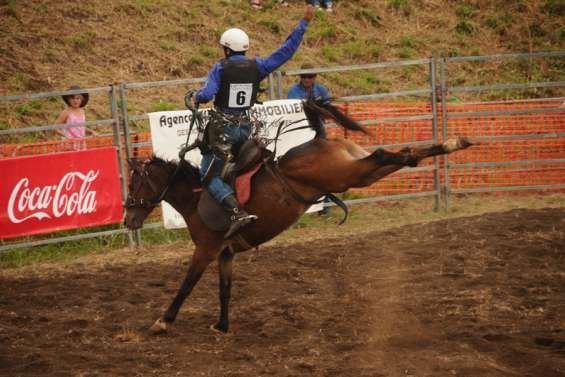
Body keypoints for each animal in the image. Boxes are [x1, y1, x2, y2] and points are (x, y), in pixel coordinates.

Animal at [124, 99, 472, 332]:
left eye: (135, 182)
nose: (128, 219)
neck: (197, 197)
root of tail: (319, 138)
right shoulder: (225, 253)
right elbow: (225, 290)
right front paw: (222, 326)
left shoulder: (206, 250)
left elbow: (186, 285)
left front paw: (163, 321)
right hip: (357, 172)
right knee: (397, 157)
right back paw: (450, 143)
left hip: (347, 175)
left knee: (384, 154)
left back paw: (449, 143)